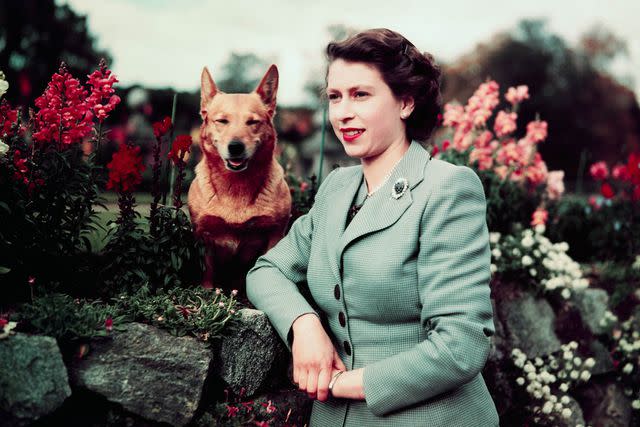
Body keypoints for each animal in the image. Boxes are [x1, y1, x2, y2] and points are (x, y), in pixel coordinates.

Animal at [188, 65, 292, 300]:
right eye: (221, 121)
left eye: (252, 122)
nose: (235, 147)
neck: (236, 186)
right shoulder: (203, 236)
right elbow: (207, 274)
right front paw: (207, 295)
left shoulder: (274, 234)